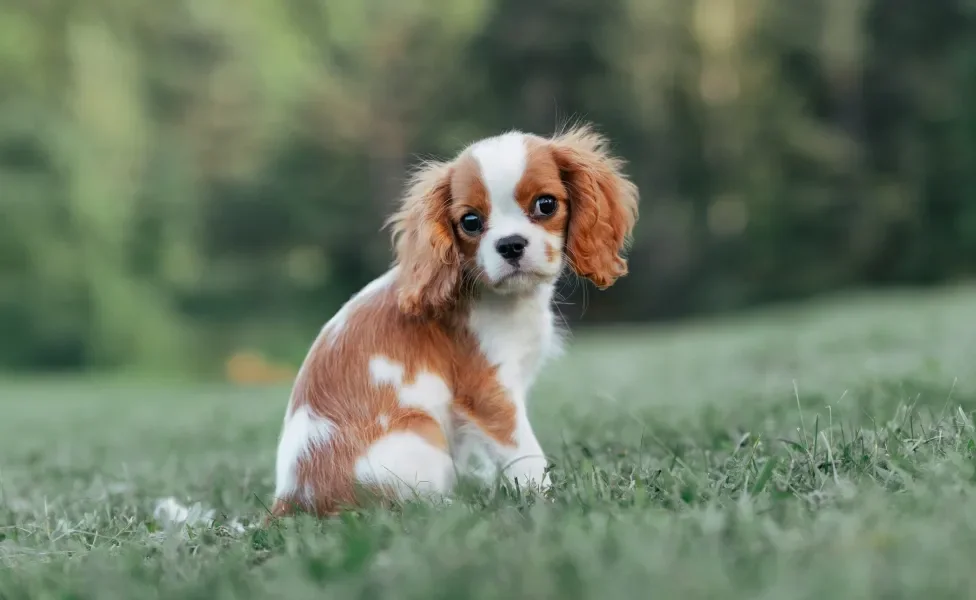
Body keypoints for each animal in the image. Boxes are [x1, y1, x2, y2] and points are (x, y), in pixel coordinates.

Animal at [272, 123, 640, 516]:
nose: (510, 244)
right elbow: (526, 454)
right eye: (471, 222)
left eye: (546, 204)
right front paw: (546, 501)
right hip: (421, 434)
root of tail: (290, 498)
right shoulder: (490, 392)